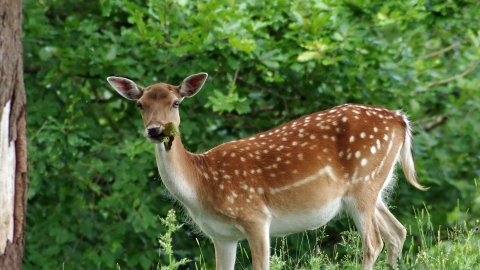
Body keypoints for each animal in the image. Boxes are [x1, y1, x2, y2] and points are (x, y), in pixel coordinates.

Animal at [107, 72, 426, 270]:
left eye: (175, 102)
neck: (201, 186)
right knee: (397, 232)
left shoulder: (256, 217)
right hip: (373, 187)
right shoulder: (221, 235)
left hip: (363, 182)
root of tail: (400, 120)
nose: (155, 130)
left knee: (373, 242)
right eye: (140, 104)